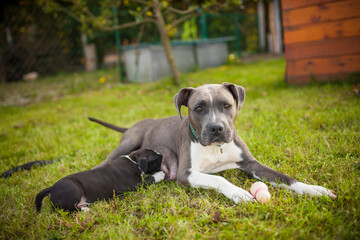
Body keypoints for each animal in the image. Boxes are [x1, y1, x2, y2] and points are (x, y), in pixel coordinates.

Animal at [35, 148, 165, 212]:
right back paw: (85, 209)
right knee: (67, 210)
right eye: (157, 159)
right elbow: (150, 179)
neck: (134, 160)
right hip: (74, 189)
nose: (163, 155)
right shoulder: (135, 185)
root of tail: (51, 188)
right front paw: (160, 174)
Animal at [90, 82, 338, 202]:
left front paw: (315, 189)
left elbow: (286, 178)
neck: (215, 148)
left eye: (227, 105)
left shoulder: (252, 164)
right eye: (198, 108)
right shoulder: (186, 174)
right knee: (103, 163)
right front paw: (238, 193)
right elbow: (219, 179)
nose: (216, 128)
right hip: (128, 143)